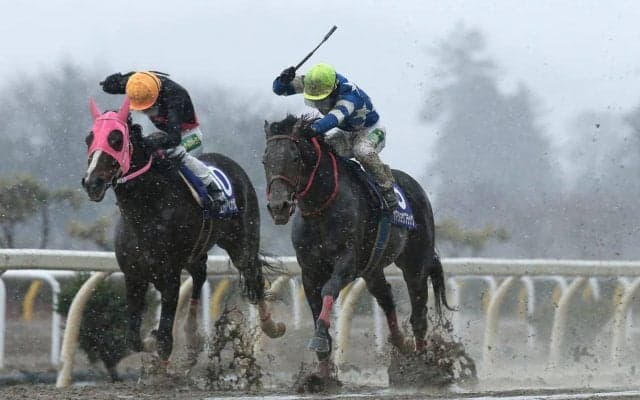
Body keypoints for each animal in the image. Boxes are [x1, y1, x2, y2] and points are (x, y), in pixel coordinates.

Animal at [81, 96, 285, 365]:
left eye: (116, 139)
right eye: (89, 138)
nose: (91, 182)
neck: (146, 211)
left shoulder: (169, 277)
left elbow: (165, 339)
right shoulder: (134, 275)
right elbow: (133, 338)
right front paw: (151, 338)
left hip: (243, 242)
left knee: (253, 275)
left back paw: (272, 326)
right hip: (196, 252)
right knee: (200, 274)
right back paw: (192, 336)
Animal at [262, 114, 452, 387]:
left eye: (295, 158)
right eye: (265, 160)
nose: (279, 206)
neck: (321, 209)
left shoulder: (347, 263)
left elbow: (329, 290)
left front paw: (319, 340)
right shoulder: (309, 270)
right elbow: (315, 306)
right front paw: (321, 375)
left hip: (415, 262)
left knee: (418, 313)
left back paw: (423, 368)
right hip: (373, 268)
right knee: (385, 297)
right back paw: (401, 344)